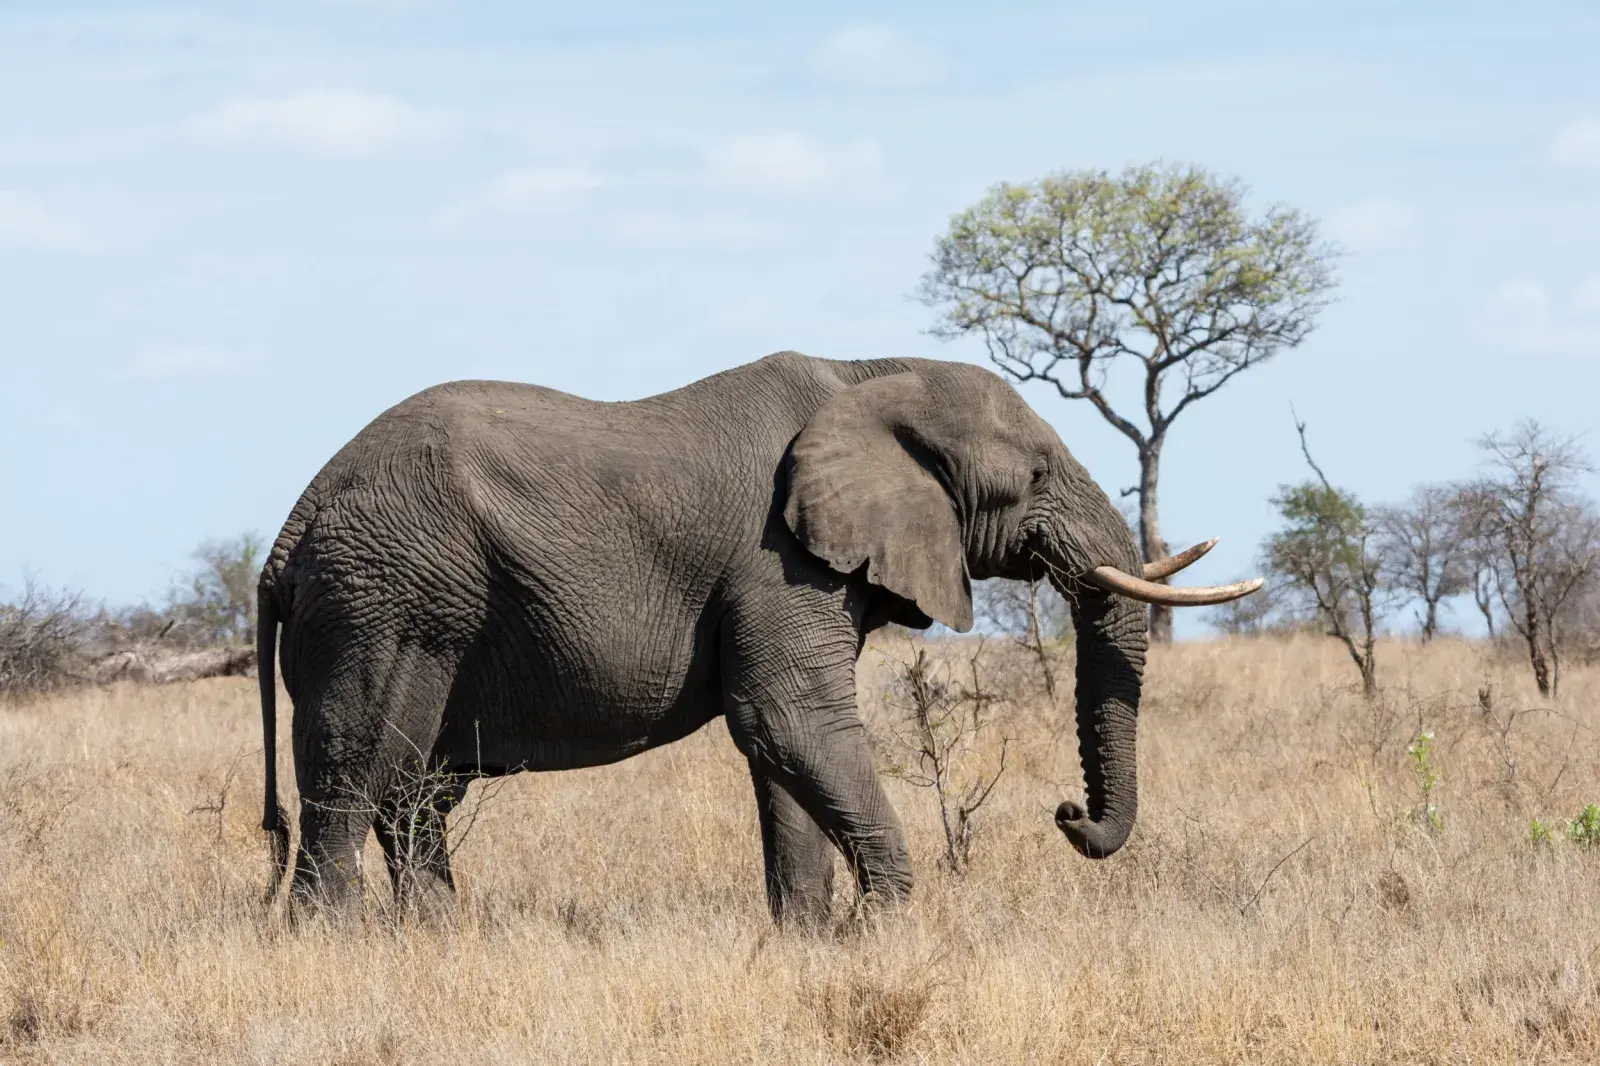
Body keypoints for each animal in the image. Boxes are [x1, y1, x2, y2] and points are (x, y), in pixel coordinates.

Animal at [255, 351, 1258, 924]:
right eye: (1039, 473)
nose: (1068, 813)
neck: (868, 371)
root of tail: (287, 535)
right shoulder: (778, 556)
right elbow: (789, 717)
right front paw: (886, 931)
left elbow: (783, 745)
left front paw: (810, 939)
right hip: (387, 599)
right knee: (362, 772)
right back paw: (337, 944)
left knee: (417, 792)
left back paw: (438, 937)